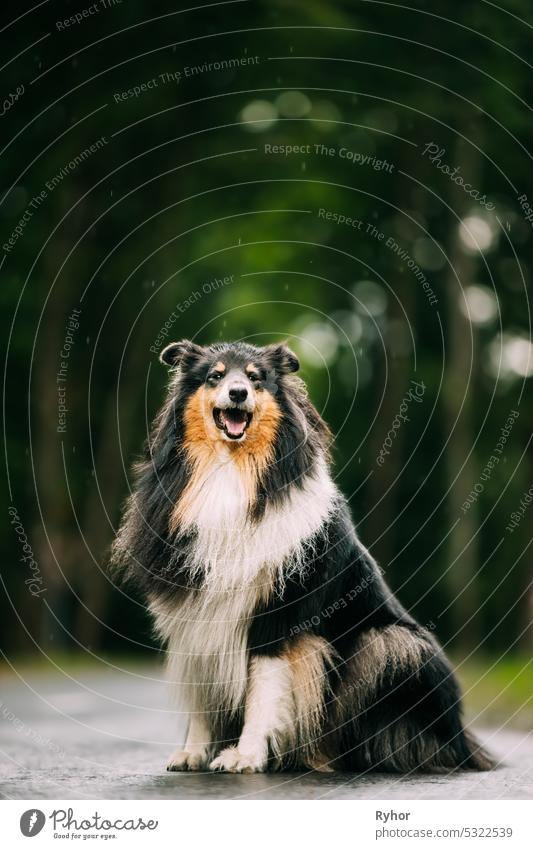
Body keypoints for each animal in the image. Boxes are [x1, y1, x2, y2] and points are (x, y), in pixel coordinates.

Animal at [111, 340, 490, 776]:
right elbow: (203, 688)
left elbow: (264, 690)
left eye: (256, 378)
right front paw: (194, 752)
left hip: (392, 644)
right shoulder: (196, 609)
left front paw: (245, 755)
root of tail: (464, 744)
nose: (237, 393)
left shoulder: (278, 614)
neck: (232, 467)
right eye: (215, 376)